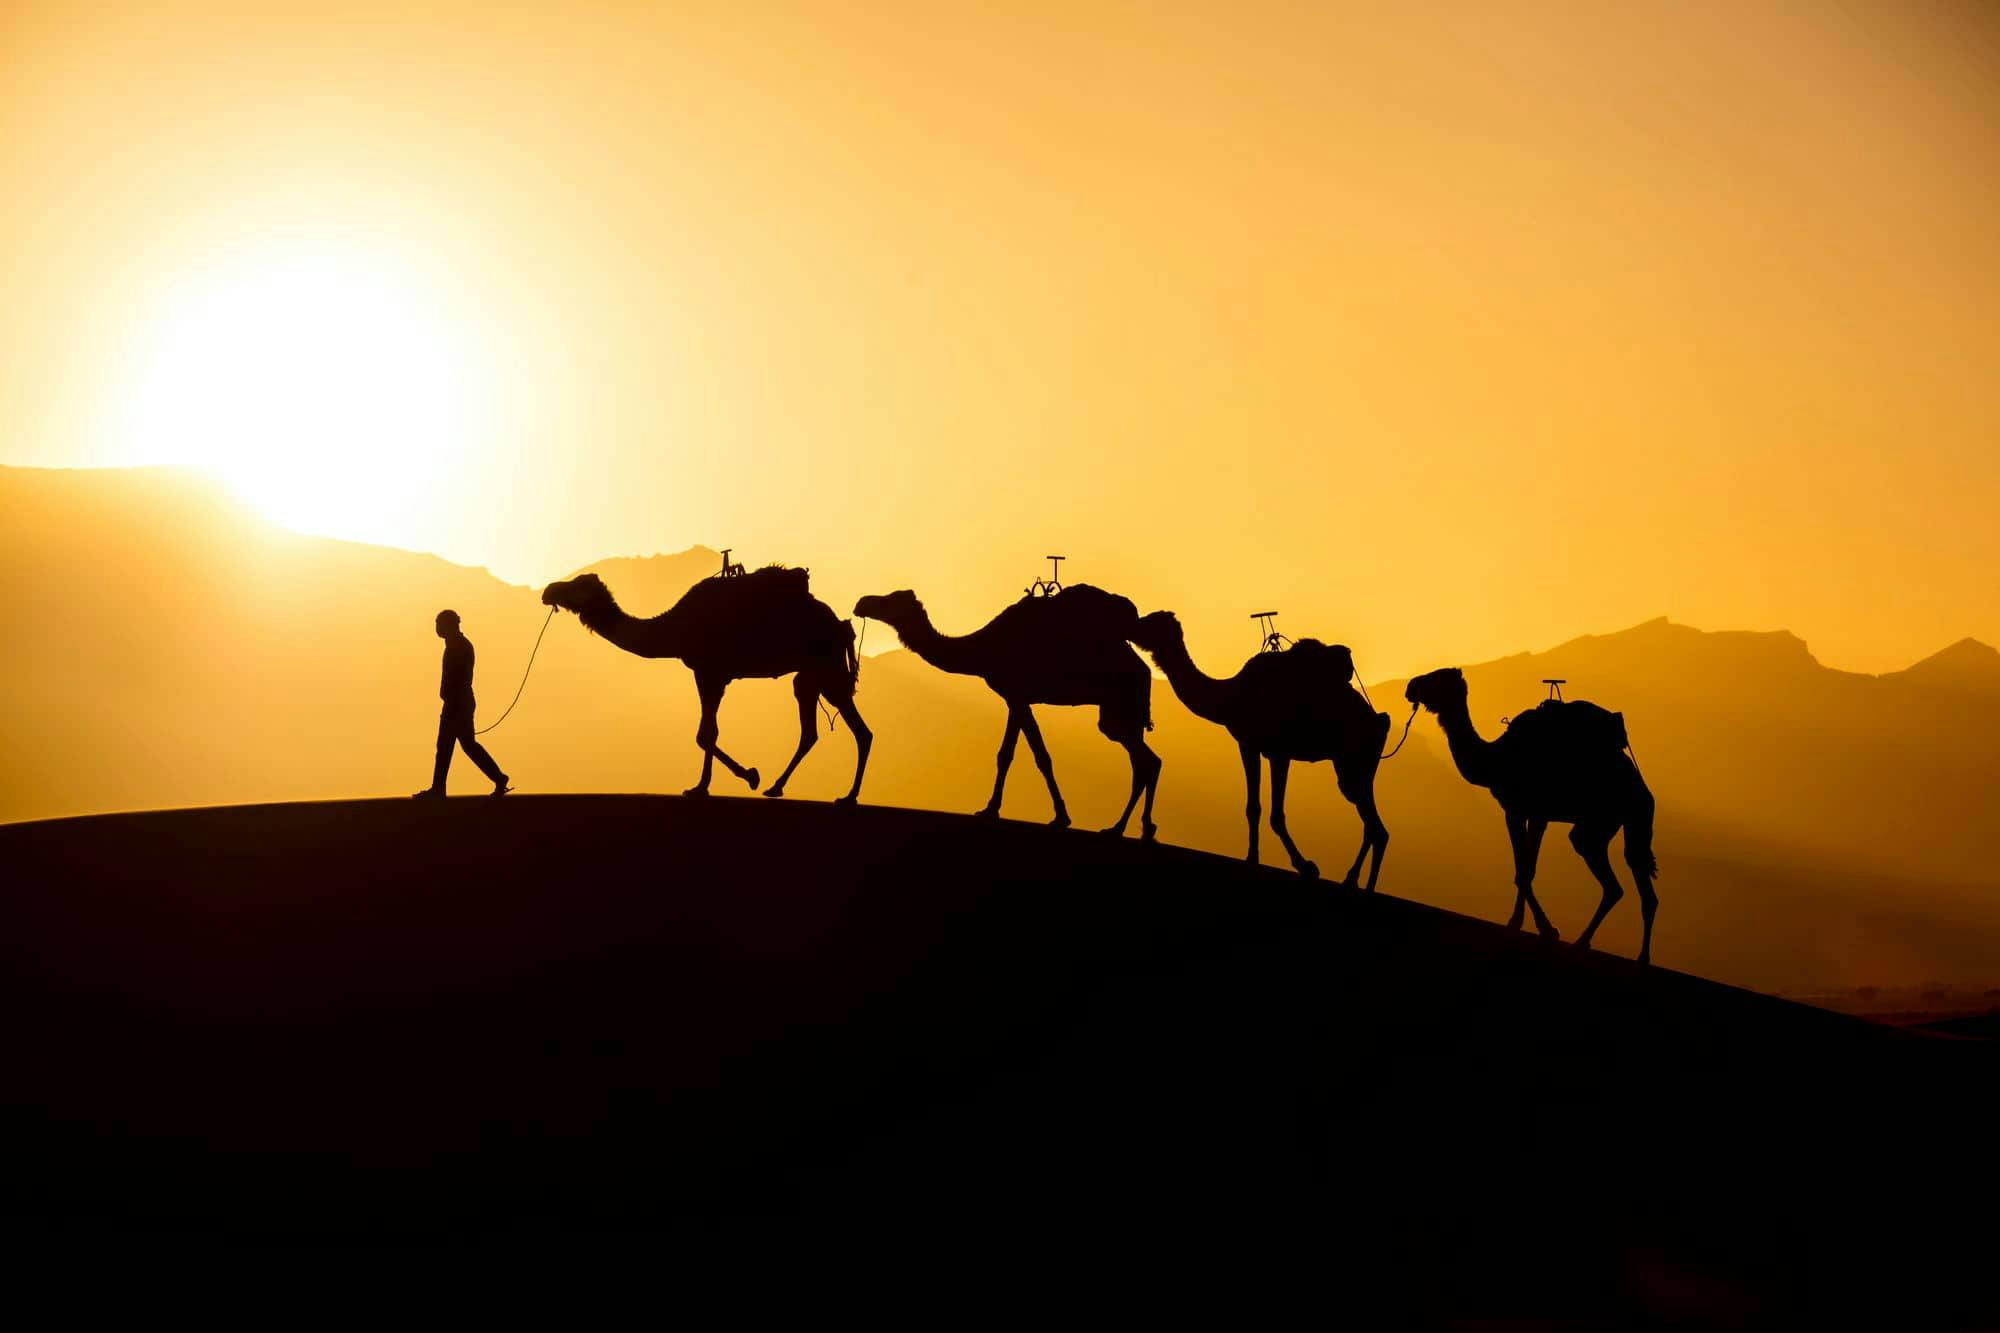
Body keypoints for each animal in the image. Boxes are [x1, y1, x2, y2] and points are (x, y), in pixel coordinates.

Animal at [541, 566, 871, 802]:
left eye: (576, 584)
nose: (548, 591)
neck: (674, 628)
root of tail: (841, 624)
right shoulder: (713, 675)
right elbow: (707, 733)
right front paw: (727, 780)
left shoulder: (708, 673)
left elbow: (705, 734)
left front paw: (728, 781)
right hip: (810, 673)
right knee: (814, 729)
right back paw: (779, 787)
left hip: (825, 665)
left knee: (859, 731)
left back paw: (847, 796)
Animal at [852, 586, 1160, 838]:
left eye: (890, 600)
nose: (862, 602)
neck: (982, 648)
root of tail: (1143, 670)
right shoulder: (1015, 698)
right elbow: (1014, 754)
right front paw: (997, 810)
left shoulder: (1017, 695)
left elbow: (1032, 756)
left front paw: (1054, 816)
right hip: (1120, 712)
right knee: (1147, 761)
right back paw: (1134, 827)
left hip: (1119, 707)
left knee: (1145, 761)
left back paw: (1123, 828)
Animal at [1130, 611, 1391, 886]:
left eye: (1151, 622)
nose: (1132, 625)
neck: (1231, 696)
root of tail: (1379, 720)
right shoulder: (1248, 746)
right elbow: (1253, 808)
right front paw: (1252, 858)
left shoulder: (1279, 752)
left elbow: (1277, 815)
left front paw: (1306, 866)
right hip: (1352, 763)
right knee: (1372, 825)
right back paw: (1352, 879)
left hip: (1354, 760)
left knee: (1375, 826)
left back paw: (1361, 883)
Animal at [1405, 668, 1658, 963]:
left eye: (1435, 677)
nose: (1410, 686)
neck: (1494, 760)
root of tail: (1642, 791)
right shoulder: (1537, 815)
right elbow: (1527, 869)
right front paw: (1521, 922)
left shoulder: (1517, 810)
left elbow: (1523, 872)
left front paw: (1543, 928)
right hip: (1630, 824)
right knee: (1640, 878)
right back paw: (1641, 957)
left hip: (1598, 823)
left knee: (1611, 881)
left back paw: (1582, 942)